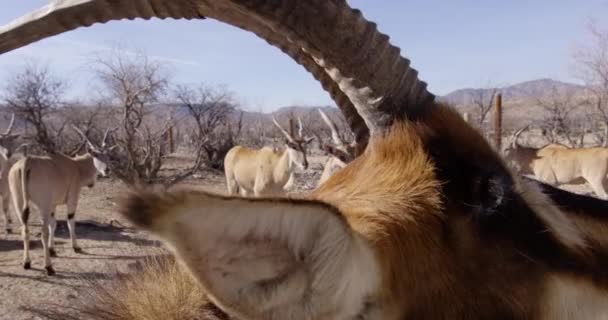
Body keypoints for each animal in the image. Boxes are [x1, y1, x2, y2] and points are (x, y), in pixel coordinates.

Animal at [7, 125, 114, 276]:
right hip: (43, 206)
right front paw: (76, 247)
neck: (76, 166)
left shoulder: (53, 205)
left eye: (108, 155)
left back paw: (27, 263)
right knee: (43, 233)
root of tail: (26, 163)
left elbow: (54, 224)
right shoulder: (72, 198)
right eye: (96, 155)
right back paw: (49, 267)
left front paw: (52, 250)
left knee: (25, 230)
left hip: (19, 203)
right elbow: (70, 221)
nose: (107, 170)